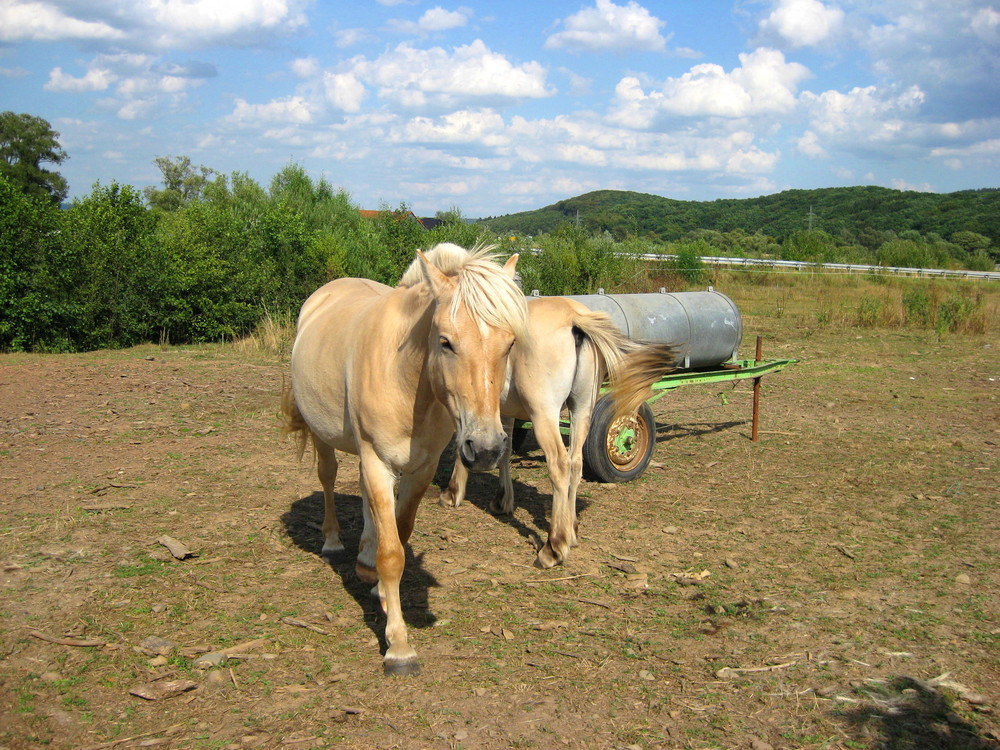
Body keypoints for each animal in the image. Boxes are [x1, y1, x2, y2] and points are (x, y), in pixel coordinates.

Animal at [282, 245, 528, 676]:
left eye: (510, 343)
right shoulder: (378, 462)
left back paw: (363, 559)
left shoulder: (420, 470)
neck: (406, 379)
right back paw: (332, 540)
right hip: (323, 437)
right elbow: (392, 553)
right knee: (328, 478)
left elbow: (399, 533)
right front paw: (398, 646)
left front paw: (379, 587)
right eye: (446, 342)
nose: (485, 448)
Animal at [400, 247, 680, 568]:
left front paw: (453, 493)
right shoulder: (502, 413)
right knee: (575, 463)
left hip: (545, 415)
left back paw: (554, 546)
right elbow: (505, 450)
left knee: (560, 464)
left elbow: (466, 446)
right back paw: (570, 529)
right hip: (582, 409)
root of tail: (575, 319)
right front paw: (503, 501)